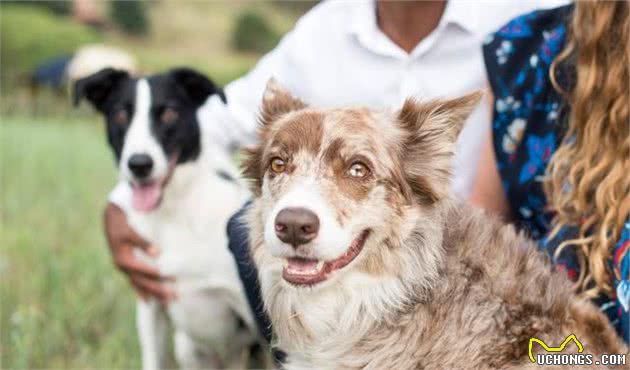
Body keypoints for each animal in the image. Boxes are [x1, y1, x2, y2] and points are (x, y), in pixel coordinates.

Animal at [76, 68, 260, 368]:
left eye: (169, 114)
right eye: (120, 115)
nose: (139, 164)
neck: (173, 210)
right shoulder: (151, 303)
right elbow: (152, 358)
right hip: (187, 348)